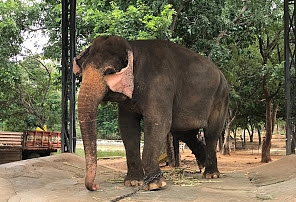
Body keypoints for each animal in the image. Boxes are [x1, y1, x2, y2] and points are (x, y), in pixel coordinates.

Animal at [73, 34, 229, 191]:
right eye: (83, 70)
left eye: (109, 72)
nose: (96, 186)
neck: (133, 48)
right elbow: (127, 126)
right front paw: (133, 182)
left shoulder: (160, 85)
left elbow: (158, 123)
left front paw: (154, 185)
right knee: (185, 133)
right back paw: (203, 166)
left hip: (221, 97)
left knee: (211, 133)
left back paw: (211, 174)